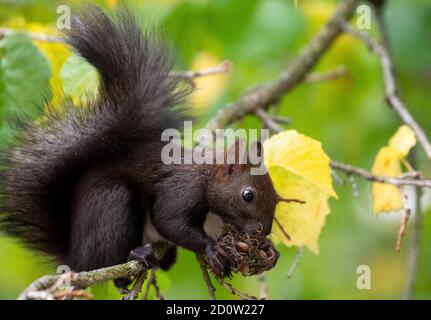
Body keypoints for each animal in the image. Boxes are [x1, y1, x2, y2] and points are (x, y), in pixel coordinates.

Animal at [0, 5, 280, 282]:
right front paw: (213, 249)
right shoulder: (180, 190)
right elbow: (169, 221)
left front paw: (270, 252)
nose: (263, 230)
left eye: (277, 195)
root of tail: (74, 257)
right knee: (106, 260)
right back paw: (135, 255)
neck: (207, 175)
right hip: (112, 203)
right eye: (248, 195)